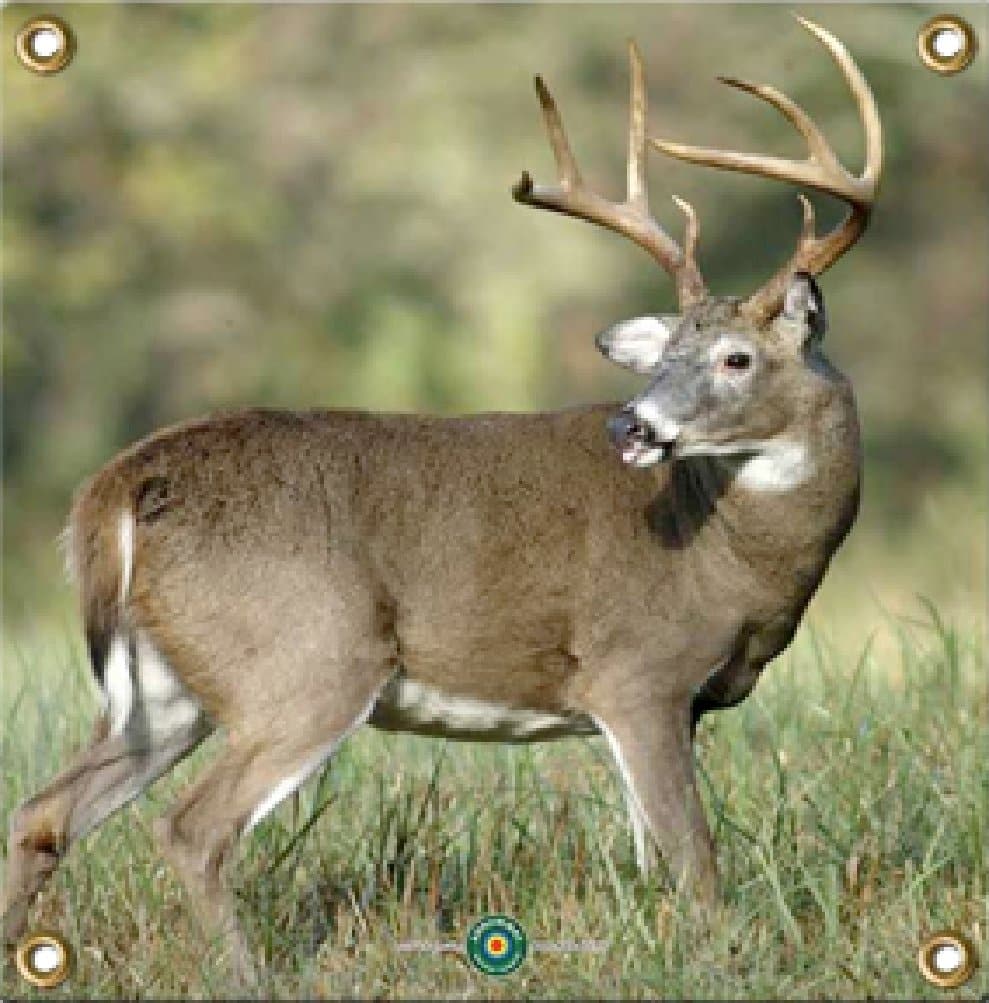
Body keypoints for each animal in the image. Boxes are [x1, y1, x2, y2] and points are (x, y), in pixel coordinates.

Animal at [2, 15, 881, 980]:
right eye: (667, 357)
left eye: (734, 357)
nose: (633, 424)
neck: (733, 556)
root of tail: (116, 487)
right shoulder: (634, 671)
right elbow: (695, 862)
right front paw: (720, 962)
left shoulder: (671, 703)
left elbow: (655, 855)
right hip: (307, 658)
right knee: (191, 829)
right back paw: (250, 975)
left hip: (167, 689)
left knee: (41, 813)